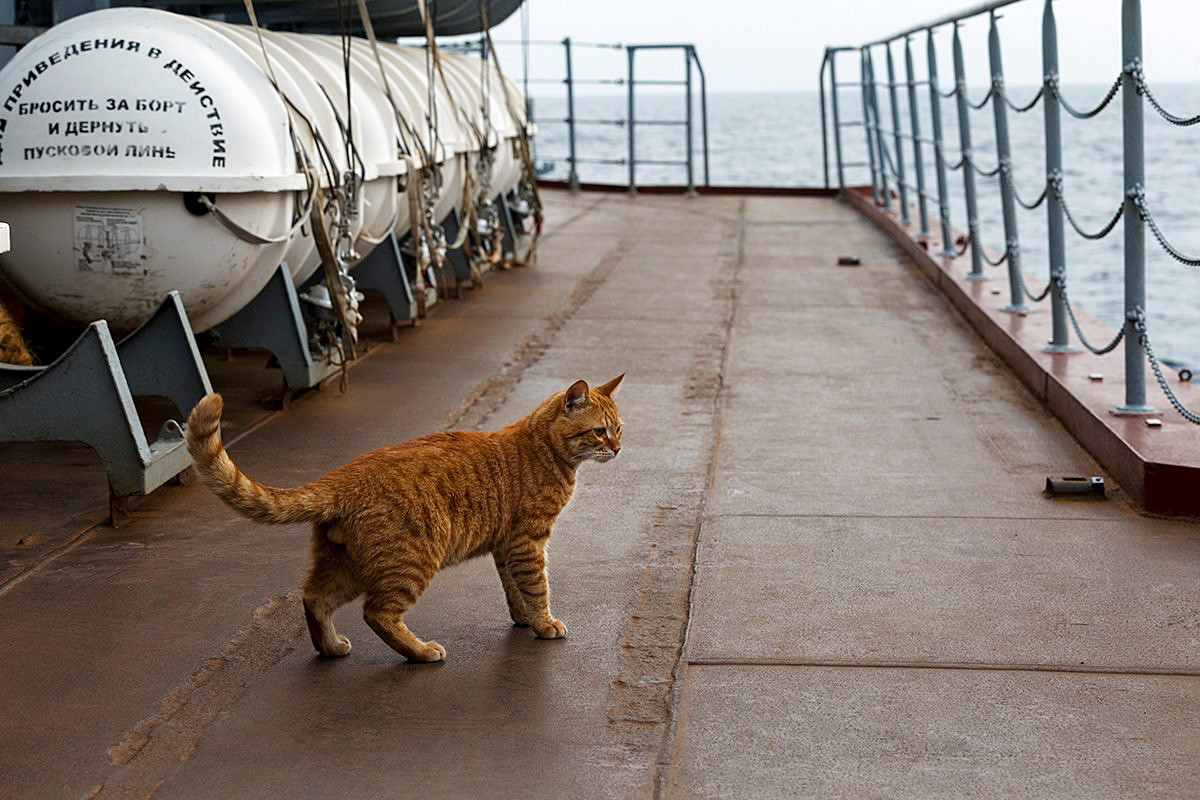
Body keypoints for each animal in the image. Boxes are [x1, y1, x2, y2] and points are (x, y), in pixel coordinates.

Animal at [184, 376, 628, 662]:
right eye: (599, 432)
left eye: (620, 429)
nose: (618, 449)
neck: (544, 449)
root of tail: (343, 476)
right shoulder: (527, 541)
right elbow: (537, 587)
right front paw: (544, 623)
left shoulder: (505, 546)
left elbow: (514, 589)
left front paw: (523, 620)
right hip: (412, 560)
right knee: (377, 613)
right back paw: (421, 652)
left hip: (346, 566)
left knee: (315, 597)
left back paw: (331, 648)